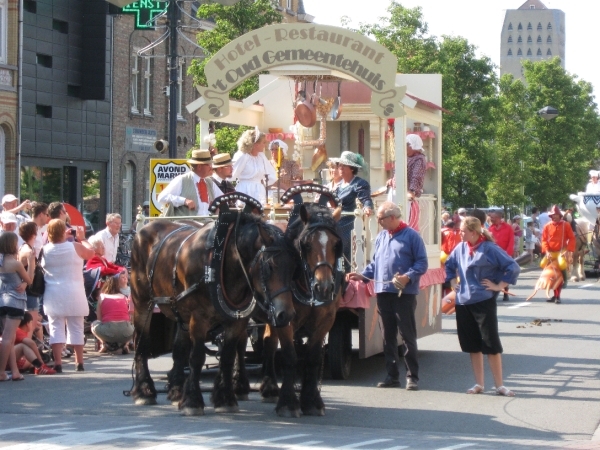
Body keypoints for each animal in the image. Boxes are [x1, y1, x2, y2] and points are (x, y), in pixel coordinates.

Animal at [132, 195, 300, 416]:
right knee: (141, 343)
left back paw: (176, 391)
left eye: (294, 267)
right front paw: (193, 401)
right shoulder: (199, 318)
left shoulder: (237, 320)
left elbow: (228, 355)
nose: (285, 314)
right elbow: (197, 357)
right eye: (269, 266)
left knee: (179, 349)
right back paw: (144, 391)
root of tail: (143, 229)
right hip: (142, 301)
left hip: (180, 312)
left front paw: (225, 398)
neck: (222, 261)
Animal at [256, 185, 342, 416]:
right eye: (307, 245)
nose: (324, 287)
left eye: (336, 245)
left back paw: (269, 386)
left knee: (268, 340)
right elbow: (290, 356)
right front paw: (288, 403)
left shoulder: (327, 319)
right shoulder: (285, 317)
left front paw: (312, 401)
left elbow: (313, 357)